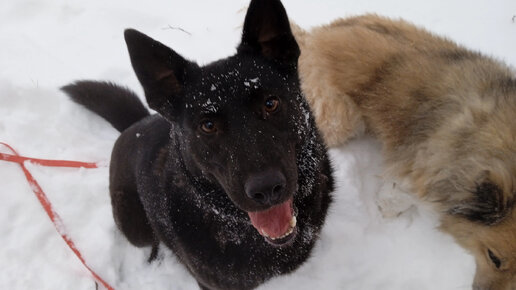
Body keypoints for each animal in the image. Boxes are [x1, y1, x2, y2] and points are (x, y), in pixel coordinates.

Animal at [294, 15, 516, 290]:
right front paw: (387, 210)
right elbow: (400, 191)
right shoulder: (424, 163)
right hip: (341, 118)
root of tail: (310, 39)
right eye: (494, 258)